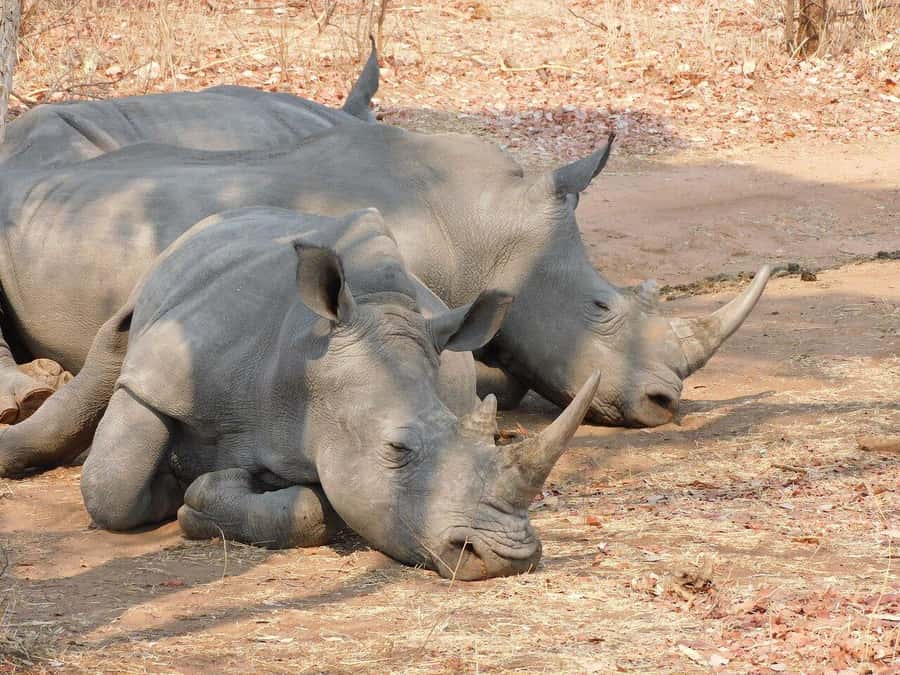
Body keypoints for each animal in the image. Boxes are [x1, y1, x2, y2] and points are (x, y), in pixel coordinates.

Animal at [25, 205, 600, 580]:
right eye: (396, 449)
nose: (508, 559)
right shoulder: (161, 373)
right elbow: (113, 487)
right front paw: (171, 490)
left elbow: (312, 509)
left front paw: (214, 491)